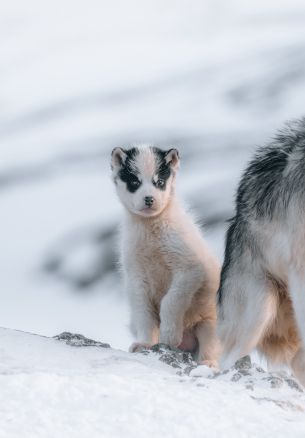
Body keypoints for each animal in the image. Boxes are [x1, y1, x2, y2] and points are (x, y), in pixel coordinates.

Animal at [111, 145, 218, 366]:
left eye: (159, 182)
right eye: (134, 182)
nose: (149, 199)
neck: (151, 230)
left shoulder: (189, 268)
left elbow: (170, 301)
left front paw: (169, 336)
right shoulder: (136, 274)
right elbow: (144, 312)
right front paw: (145, 344)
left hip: (210, 324)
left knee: (211, 348)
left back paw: (208, 363)